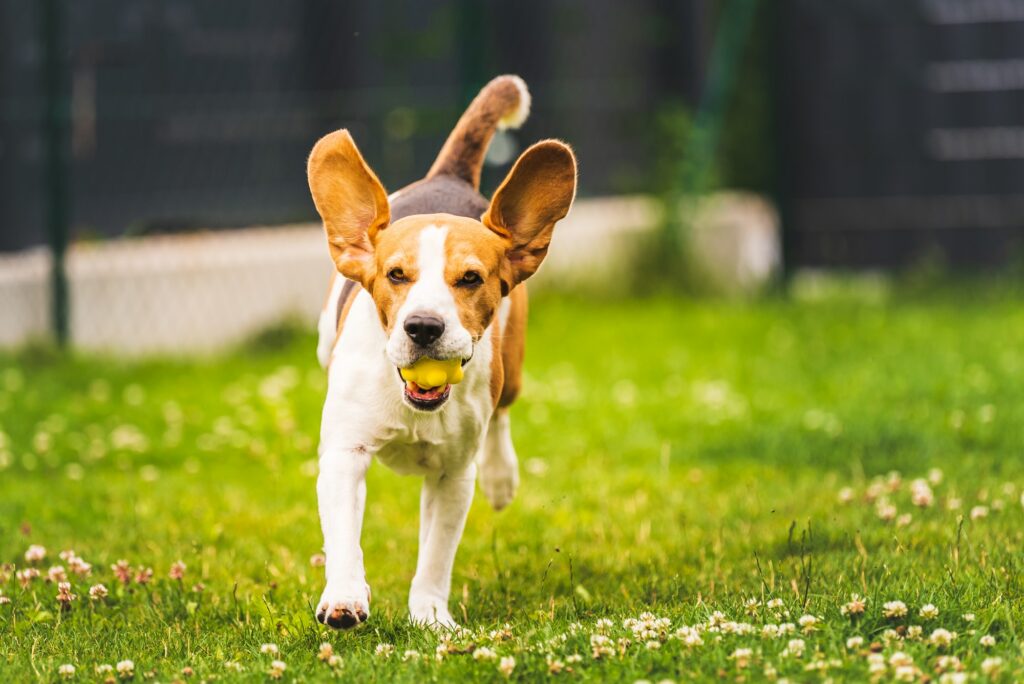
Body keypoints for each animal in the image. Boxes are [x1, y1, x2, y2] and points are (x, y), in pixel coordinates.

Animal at [305, 76, 577, 630]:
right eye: (395, 275)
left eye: (470, 278)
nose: (424, 327)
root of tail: (448, 177)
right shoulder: (345, 454)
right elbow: (344, 535)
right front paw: (345, 595)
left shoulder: (453, 476)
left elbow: (436, 553)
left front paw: (430, 614)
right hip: (325, 340)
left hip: (511, 370)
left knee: (502, 417)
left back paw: (500, 477)